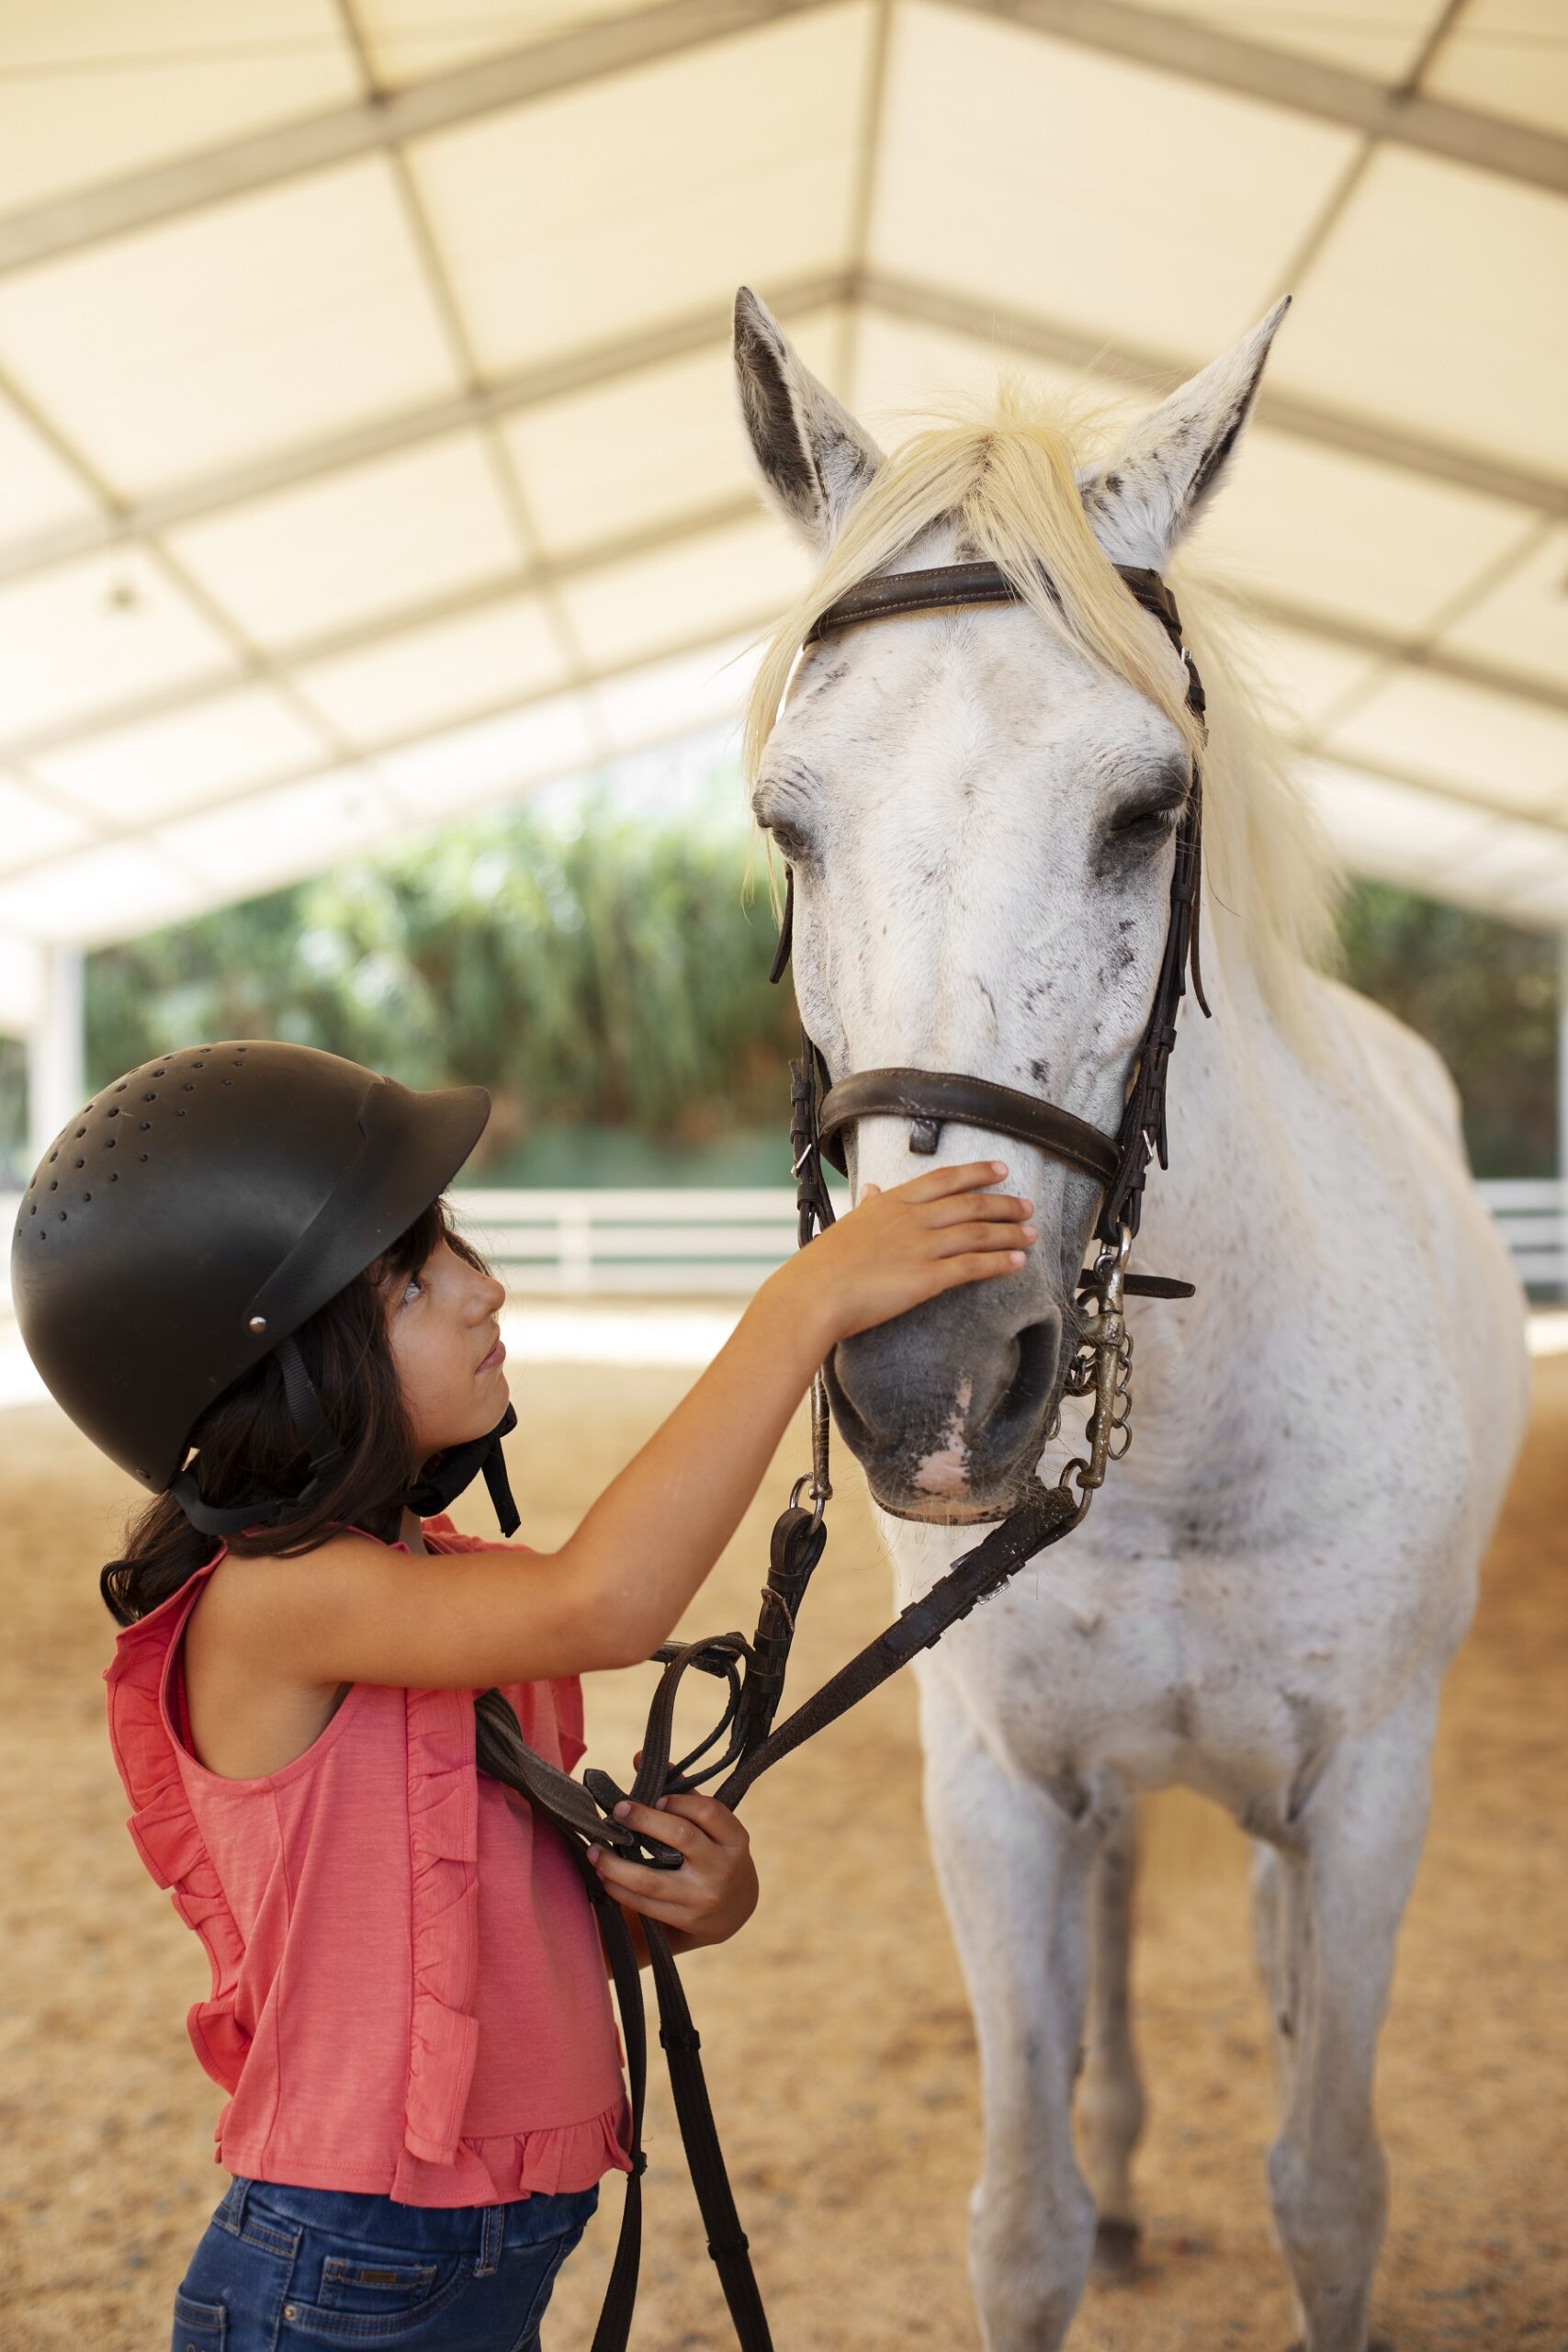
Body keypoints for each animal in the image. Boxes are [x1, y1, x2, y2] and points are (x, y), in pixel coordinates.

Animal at [733, 288, 1532, 2352]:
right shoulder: (997, 1794)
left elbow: (1329, 2192)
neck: (1175, 1452)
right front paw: (1080, 2198)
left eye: (1145, 807)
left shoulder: (1366, 1794)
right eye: (788, 823)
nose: (934, 1384)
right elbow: (1023, 2222)